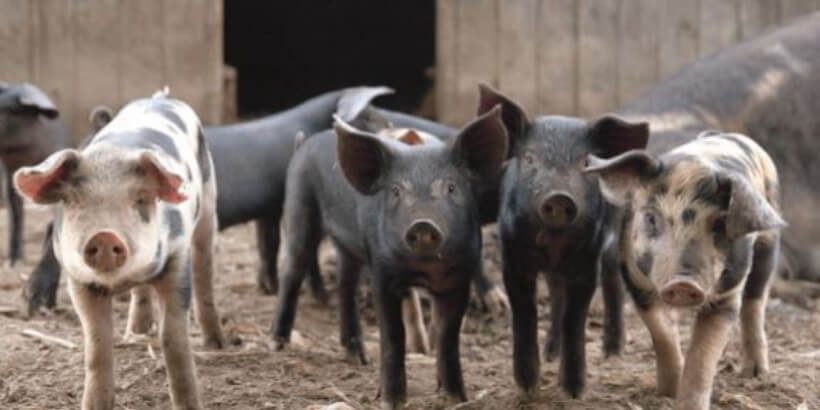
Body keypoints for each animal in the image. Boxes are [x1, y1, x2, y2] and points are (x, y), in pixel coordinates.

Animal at [13, 90, 224, 410]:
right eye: (74, 200)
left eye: (141, 199)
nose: (104, 235)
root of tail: (160, 97)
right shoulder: (79, 280)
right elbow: (97, 345)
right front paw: (94, 404)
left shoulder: (176, 259)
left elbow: (174, 339)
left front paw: (189, 403)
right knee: (142, 293)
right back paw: (137, 331)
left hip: (209, 207)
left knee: (205, 268)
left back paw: (218, 343)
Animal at [271, 107, 508, 408]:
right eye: (396, 191)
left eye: (452, 187)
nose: (423, 224)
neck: (427, 270)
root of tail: (304, 144)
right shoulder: (384, 273)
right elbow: (394, 334)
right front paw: (391, 401)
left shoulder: (458, 278)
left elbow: (448, 335)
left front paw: (456, 398)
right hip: (298, 207)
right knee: (292, 271)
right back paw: (278, 345)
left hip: (348, 246)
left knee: (345, 287)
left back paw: (358, 358)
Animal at [476, 84, 648, 398]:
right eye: (530, 159)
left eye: (585, 162)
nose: (559, 197)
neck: (553, 245)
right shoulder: (514, 256)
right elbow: (525, 311)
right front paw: (528, 387)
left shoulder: (587, 259)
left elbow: (575, 317)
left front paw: (573, 391)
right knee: (556, 293)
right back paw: (550, 353)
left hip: (617, 228)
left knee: (611, 277)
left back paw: (612, 354)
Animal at [585, 131, 785, 410]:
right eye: (651, 218)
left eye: (720, 224)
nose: (683, 283)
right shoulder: (636, 282)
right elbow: (663, 334)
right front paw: (668, 392)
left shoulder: (727, 295)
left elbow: (703, 355)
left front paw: (689, 402)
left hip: (768, 241)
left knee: (755, 302)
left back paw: (756, 374)